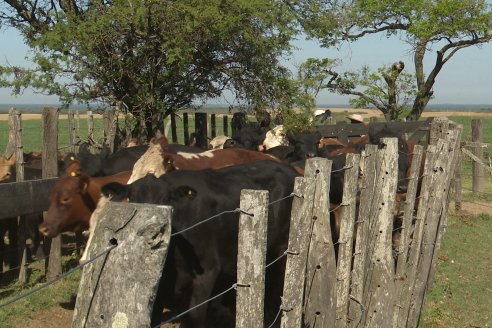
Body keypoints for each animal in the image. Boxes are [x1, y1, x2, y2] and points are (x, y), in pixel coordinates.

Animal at [102, 160, 298, 326]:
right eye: (132, 199)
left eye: (166, 200)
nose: (154, 228)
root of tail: (287, 168)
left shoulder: (207, 271)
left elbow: (195, 316)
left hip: (282, 248)